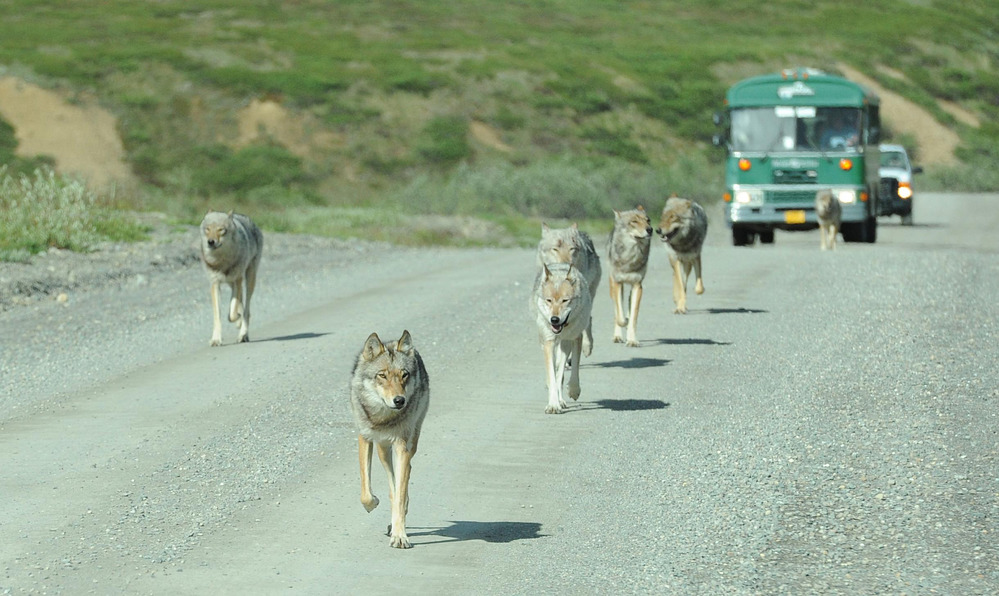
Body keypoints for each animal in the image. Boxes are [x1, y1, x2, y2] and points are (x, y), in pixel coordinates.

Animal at [199, 210, 264, 346]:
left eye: (221, 229)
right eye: (208, 229)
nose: (210, 242)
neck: (221, 261)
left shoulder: (237, 280)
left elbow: (232, 314)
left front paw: (237, 318)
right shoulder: (215, 284)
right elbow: (218, 315)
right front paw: (216, 339)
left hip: (249, 279)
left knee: (247, 310)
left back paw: (243, 335)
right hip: (231, 283)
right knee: (241, 303)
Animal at [350, 330, 430, 549]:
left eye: (404, 375)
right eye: (382, 375)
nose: (399, 400)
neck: (383, 418)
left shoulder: (402, 445)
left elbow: (400, 494)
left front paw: (400, 535)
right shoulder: (364, 438)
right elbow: (366, 493)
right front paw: (373, 503)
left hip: (410, 442)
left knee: (405, 475)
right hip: (382, 449)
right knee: (393, 484)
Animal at [532, 263, 592, 414]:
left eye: (565, 300)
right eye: (549, 300)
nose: (554, 319)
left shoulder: (576, 337)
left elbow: (574, 369)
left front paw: (574, 391)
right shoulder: (548, 343)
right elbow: (552, 377)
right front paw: (553, 405)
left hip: (566, 344)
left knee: (561, 372)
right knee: (555, 373)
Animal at [608, 206, 653, 347]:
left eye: (648, 220)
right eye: (634, 221)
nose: (650, 229)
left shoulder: (638, 285)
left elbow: (634, 316)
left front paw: (632, 340)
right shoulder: (617, 283)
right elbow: (620, 316)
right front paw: (624, 322)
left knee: (628, 302)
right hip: (613, 286)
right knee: (617, 311)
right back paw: (617, 336)